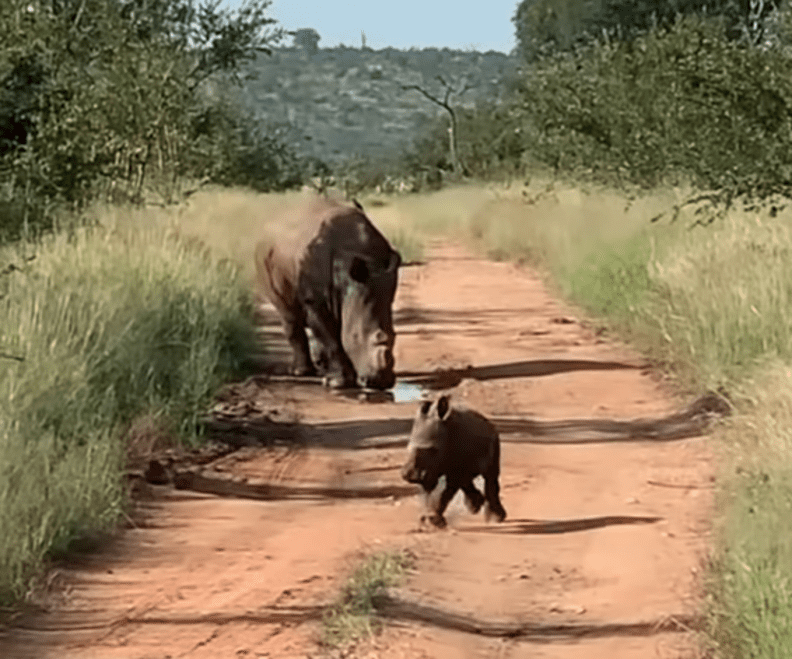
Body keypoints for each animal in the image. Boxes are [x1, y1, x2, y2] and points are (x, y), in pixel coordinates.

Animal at [255, 196, 402, 392]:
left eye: (395, 336)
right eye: (356, 336)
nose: (381, 383)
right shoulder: (314, 300)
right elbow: (331, 339)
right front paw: (338, 384)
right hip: (265, 259)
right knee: (288, 313)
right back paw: (301, 372)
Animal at [402, 394, 508, 528]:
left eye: (433, 450)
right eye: (407, 447)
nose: (409, 476)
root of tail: (487, 421)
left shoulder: (436, 465)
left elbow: (445, 492)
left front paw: (435, 521)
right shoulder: (427, 468)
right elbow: (428, 490)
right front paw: (428, 520)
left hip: (494, 439)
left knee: (490, 476)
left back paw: (495, 518)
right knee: (467, 479)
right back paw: (475, 507)